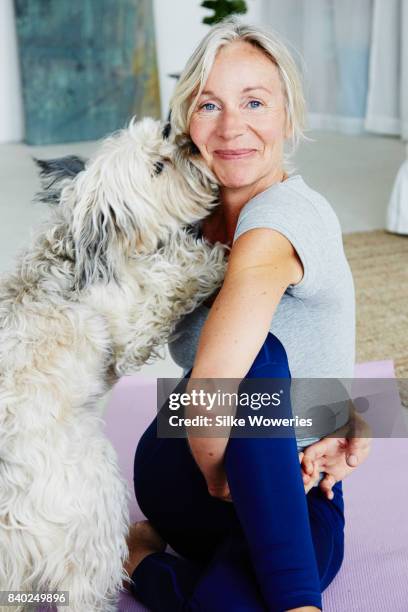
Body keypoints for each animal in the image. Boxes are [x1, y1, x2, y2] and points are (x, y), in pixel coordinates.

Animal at [0, 118, 226, 612]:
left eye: (163, 133)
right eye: (159, 167)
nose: (185, 139)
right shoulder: (135, 330)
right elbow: (173, 275)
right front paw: (209, 257)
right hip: (95, 507)